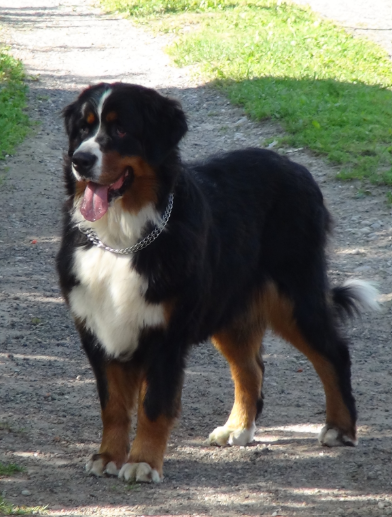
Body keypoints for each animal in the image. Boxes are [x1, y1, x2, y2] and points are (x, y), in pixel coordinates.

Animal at [56, 81, 378, 484]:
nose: (80, 160)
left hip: (295, 296)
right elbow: (113, 405)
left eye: (120, 130)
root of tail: (295, 166)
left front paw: (143, 462)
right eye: (82, 129)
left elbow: (154, 405)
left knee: (333, 353)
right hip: (231, 310)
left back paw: (340, 428)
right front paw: (108, 456)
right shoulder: (97, 330)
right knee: (250, 369)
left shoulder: (165, 335)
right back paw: (238, 428)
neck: (121, 238)